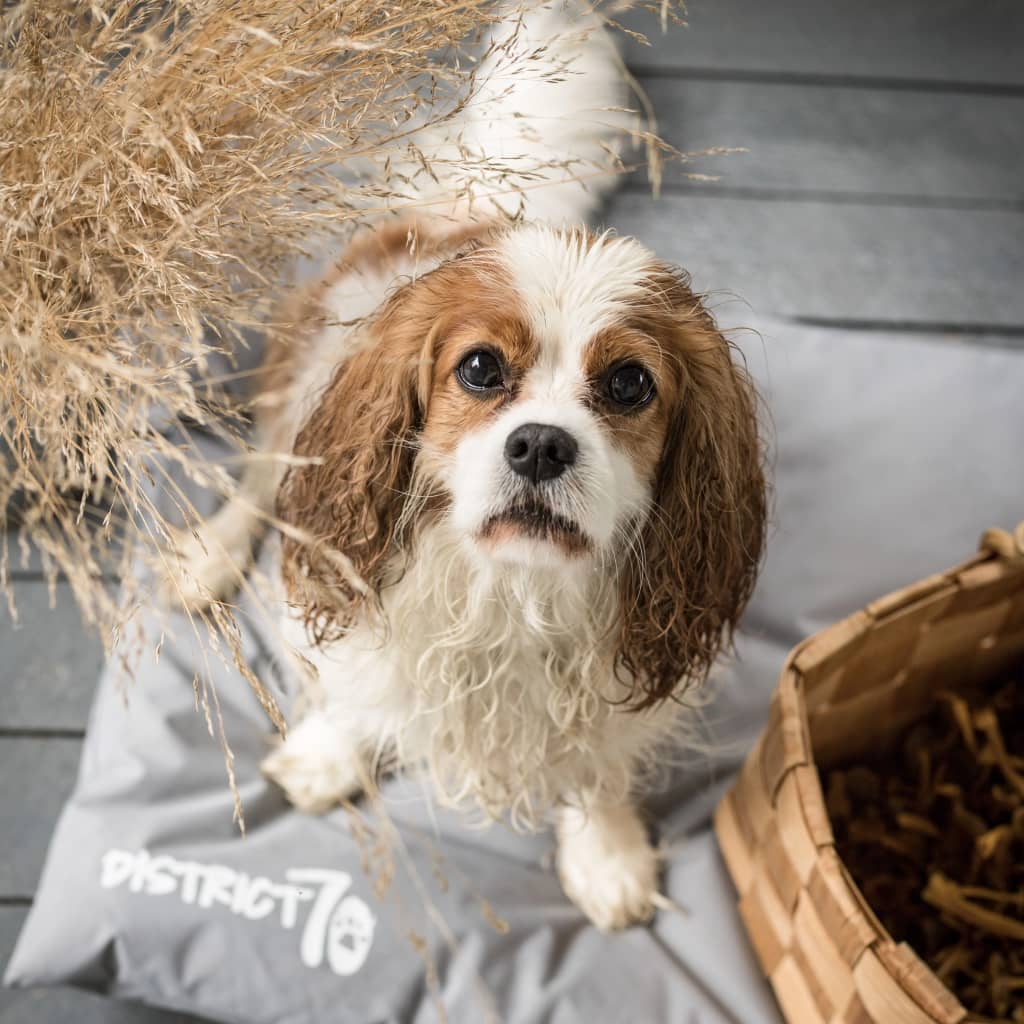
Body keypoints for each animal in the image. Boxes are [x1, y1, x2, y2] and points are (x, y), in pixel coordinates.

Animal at [176, 2, 765, 929]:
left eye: (629, 383)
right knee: (263, 481)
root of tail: (469, 202)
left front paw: (607, 853)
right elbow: (359, 683)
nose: (540, 443)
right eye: (481, 369)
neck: (512, 592)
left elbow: (598, 763)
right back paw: (208, 556)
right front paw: (330, 751)